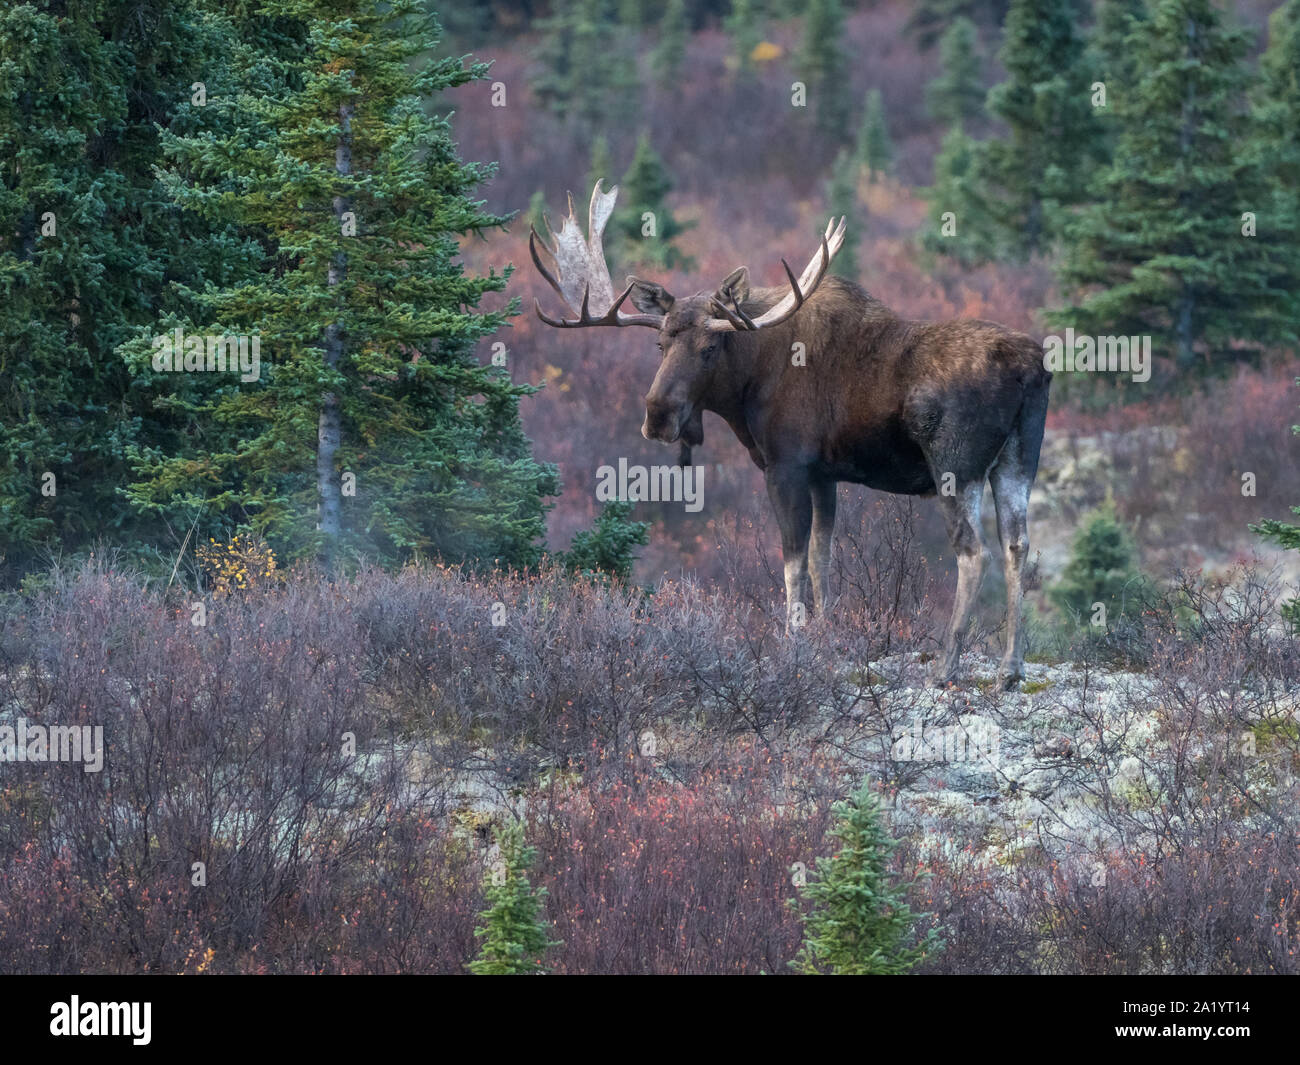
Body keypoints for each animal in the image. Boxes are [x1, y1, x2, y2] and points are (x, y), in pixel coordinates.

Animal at [533, 180, 1050, 691]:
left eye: (710, 347)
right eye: (660, 343)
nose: (657, 415)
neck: (749, 384)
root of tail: (1031, 367)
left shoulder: (785, 465)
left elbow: (793, 561)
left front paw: (793, 641)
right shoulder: (824, 473)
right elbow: (822, 556)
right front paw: (827, 638)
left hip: (955, 467)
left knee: (973, 552)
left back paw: (947, 664)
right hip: (1017, 461)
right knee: (1017, 546)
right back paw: (1011, 666)